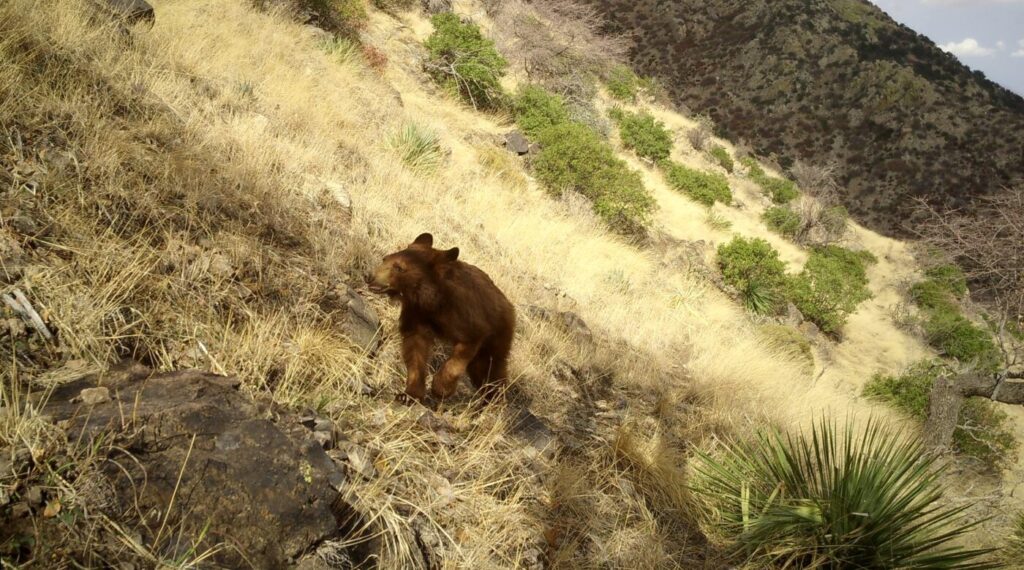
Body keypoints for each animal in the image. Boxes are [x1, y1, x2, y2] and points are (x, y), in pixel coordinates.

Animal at [367, 233, 516, 403]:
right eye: (385, 259)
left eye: (399, 268)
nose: (370, 277)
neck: (432, 300)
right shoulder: (416, 313)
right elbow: (415, 349)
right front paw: (409, 394)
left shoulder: (466, 317)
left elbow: (461, 354)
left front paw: (441, 388)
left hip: (499, 333)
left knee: (489, 368)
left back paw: (494, 401)